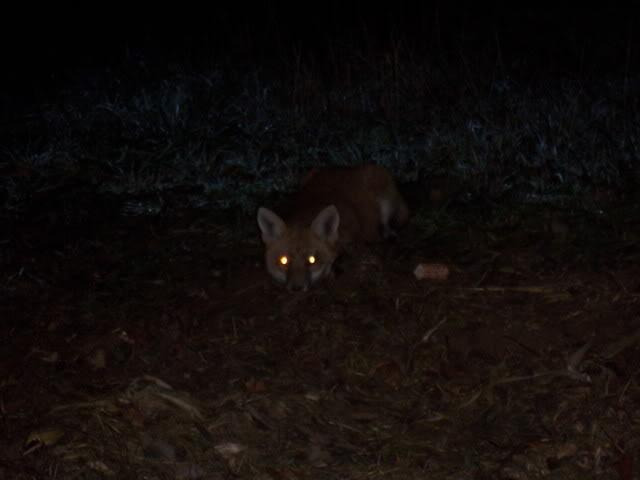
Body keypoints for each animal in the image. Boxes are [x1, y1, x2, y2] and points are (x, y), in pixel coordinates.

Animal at [258, 165, 408, 290]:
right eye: (284, 261)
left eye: (312, 260)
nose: (297, 289)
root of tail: (346, 168)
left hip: (385, 202)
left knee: (385, 224)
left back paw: (388, 235)